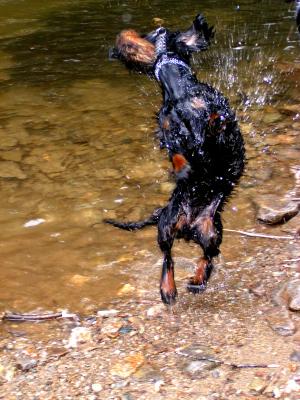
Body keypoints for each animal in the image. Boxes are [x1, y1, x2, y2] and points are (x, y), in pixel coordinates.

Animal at [106, 14, 245, 304]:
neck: (180, 90)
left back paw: (197, 280)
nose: (121, 43)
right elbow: (177, 150)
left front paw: (211, 125)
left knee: (208, 257)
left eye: (157, 31)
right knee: (168, 258)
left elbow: (217, 120)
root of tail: (189, 225)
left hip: (212, 231)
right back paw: (168, 289)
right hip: (167, 226)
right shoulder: (166, 129)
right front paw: (183, 169)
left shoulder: (223, 118)